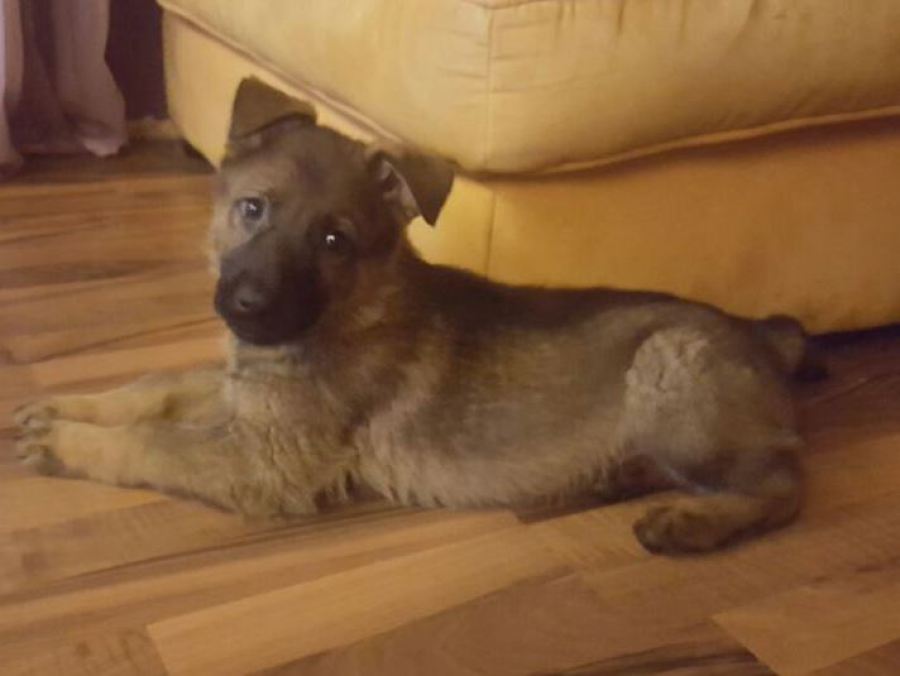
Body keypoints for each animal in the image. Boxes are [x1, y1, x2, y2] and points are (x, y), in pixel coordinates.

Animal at [14, 77, 815, 554]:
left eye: (334, 242)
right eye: (253, 209)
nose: (250, 308)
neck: (348, 309)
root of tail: (765, 338)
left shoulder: (266, 461)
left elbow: (155, 444)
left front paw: (63, 442)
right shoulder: (247, 395)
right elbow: (154, 388)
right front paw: (59, 407)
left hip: (668, 370)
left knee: (784, 488)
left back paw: (691, 522)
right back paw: (614, 476)